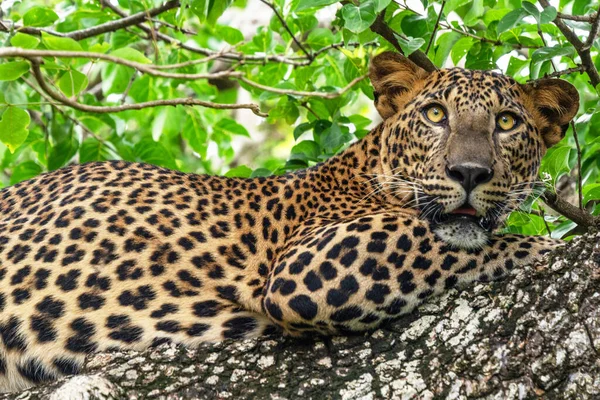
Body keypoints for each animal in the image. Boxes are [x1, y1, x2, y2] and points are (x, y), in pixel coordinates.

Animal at [0, 51, 580, 392]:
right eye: (435, 114)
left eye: (507, 123)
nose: (469, 172)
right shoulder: (312, 263)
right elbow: (471, 241)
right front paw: (548, 249)